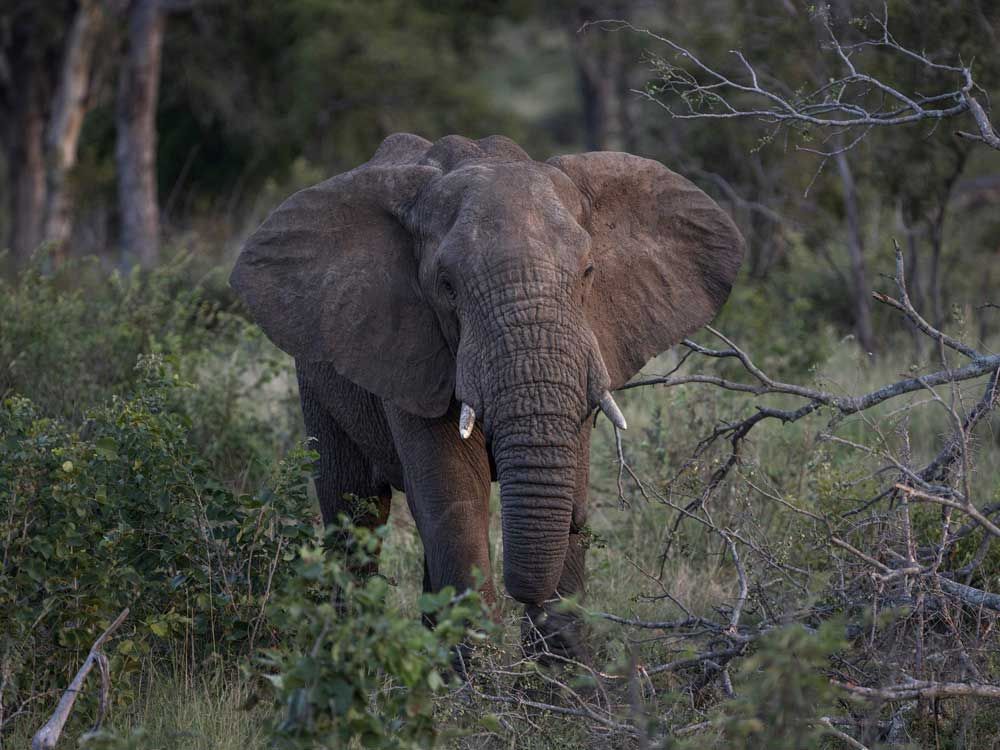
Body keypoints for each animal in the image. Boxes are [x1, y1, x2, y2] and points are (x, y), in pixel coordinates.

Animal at [230, 133, 744, 661]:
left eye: (588, 272)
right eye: (447, 287)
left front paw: (559, 678)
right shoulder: (417, 354)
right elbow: (455, 500)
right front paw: (476, 678)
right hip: (316, 377)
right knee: (354, 510)